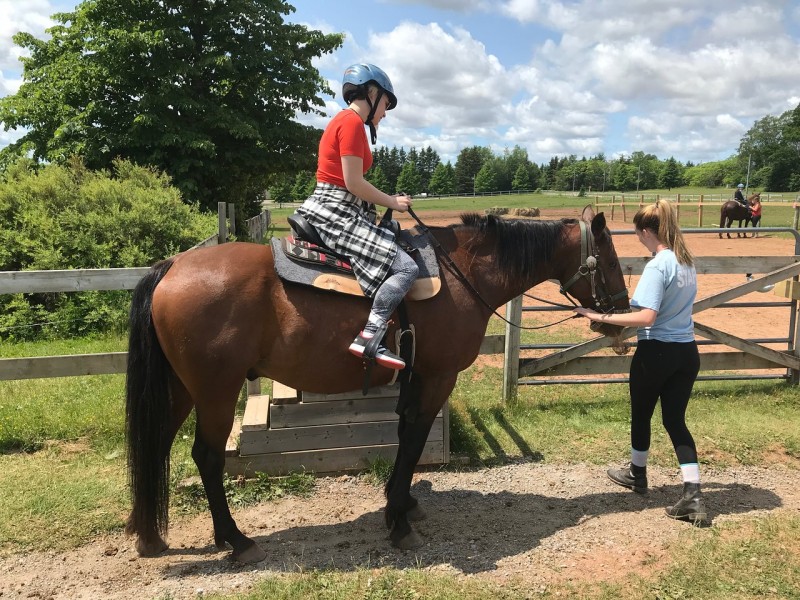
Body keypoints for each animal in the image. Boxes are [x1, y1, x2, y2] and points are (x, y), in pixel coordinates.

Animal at [123, 205, 632, 564]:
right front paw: (399, 523)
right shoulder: (437, 377)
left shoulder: (415, 377)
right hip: (215, 391)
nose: (622, 315)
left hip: (181, 390)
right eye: (609, 260)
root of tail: (171, 268)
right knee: (207, 457)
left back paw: (148, 533)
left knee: (156, 444)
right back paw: (236, 539)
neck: (461, 273)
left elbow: (406, 436)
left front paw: (401, 504)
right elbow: (414, 441)